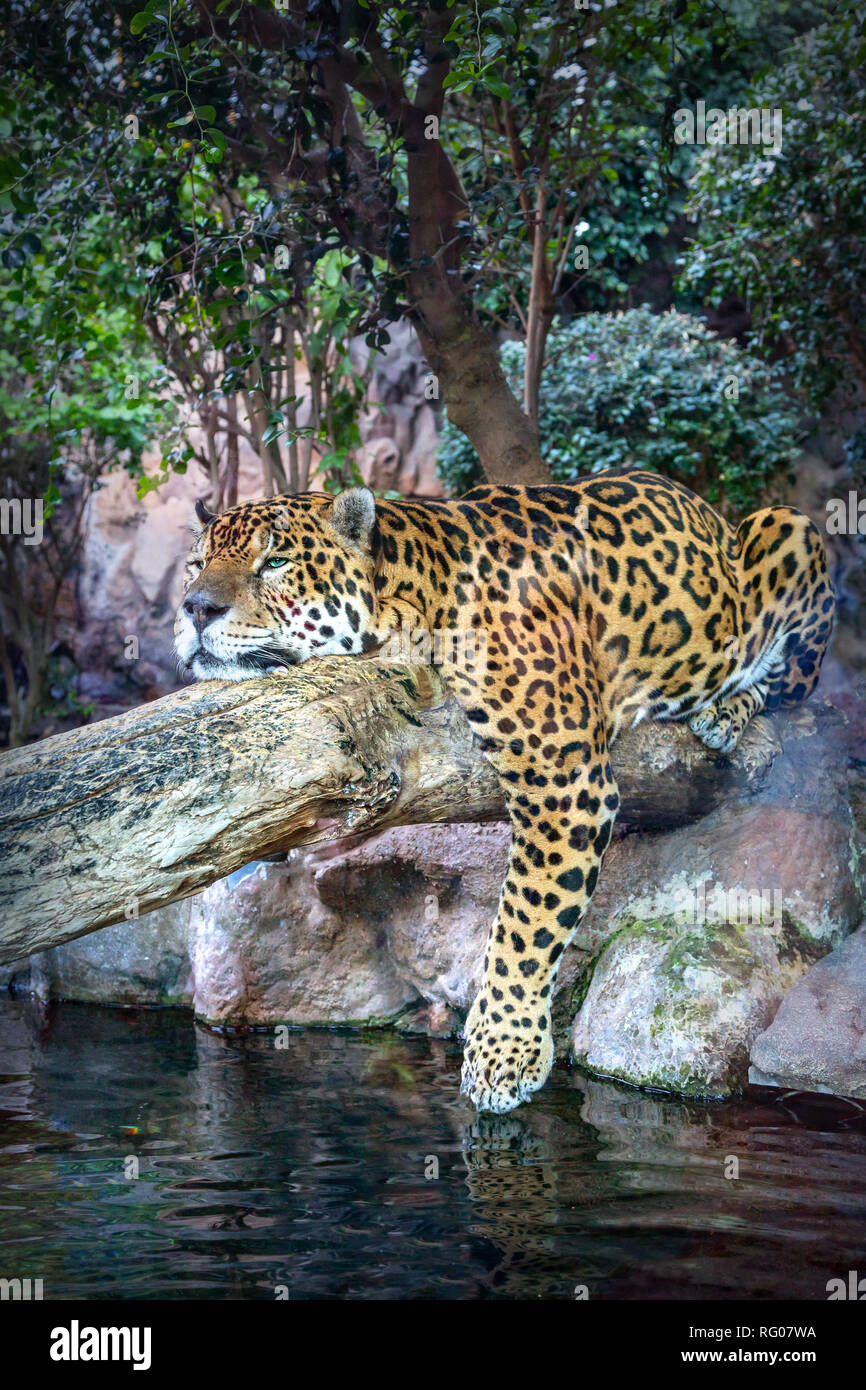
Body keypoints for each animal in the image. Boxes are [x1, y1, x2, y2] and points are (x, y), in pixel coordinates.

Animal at [174, 470, 834, 1114]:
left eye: (276, 562)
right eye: (196, 564)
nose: (195, 608)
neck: (419, 593)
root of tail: (712, 512)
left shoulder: (562, 778)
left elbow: (526, 919)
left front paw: (502, 1054)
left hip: (789, 529)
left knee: (790, 679)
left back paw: (726, 710)